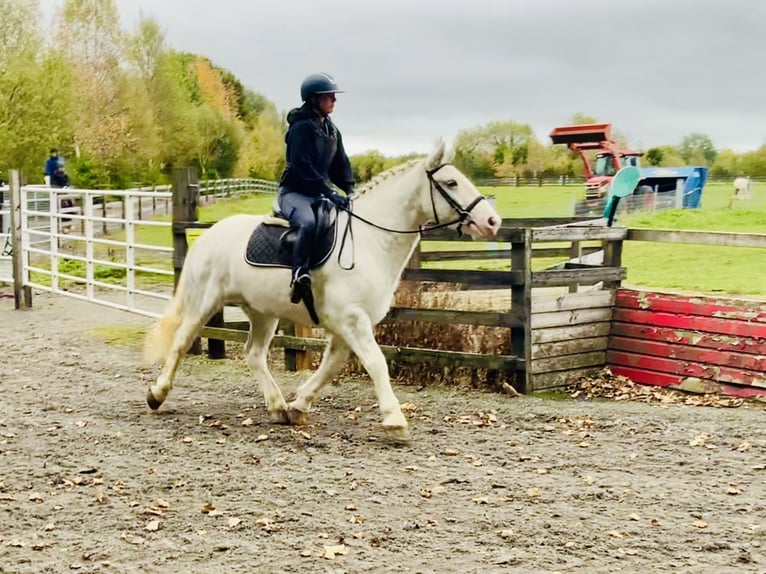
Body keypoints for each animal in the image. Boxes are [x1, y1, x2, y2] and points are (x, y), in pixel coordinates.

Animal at [144, 140, 504, 440]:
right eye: (451, 183)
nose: (493, 222)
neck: (371, 240)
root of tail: (207, 235)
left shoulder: (347, 325)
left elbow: (332, 366)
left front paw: (298, 406)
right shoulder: (352, 320)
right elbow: (376, 363)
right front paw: (395, 420)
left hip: (262, 312)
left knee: (254, 354)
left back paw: (276, 406)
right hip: (204, 302)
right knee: (181, 342)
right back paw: (157, 394)